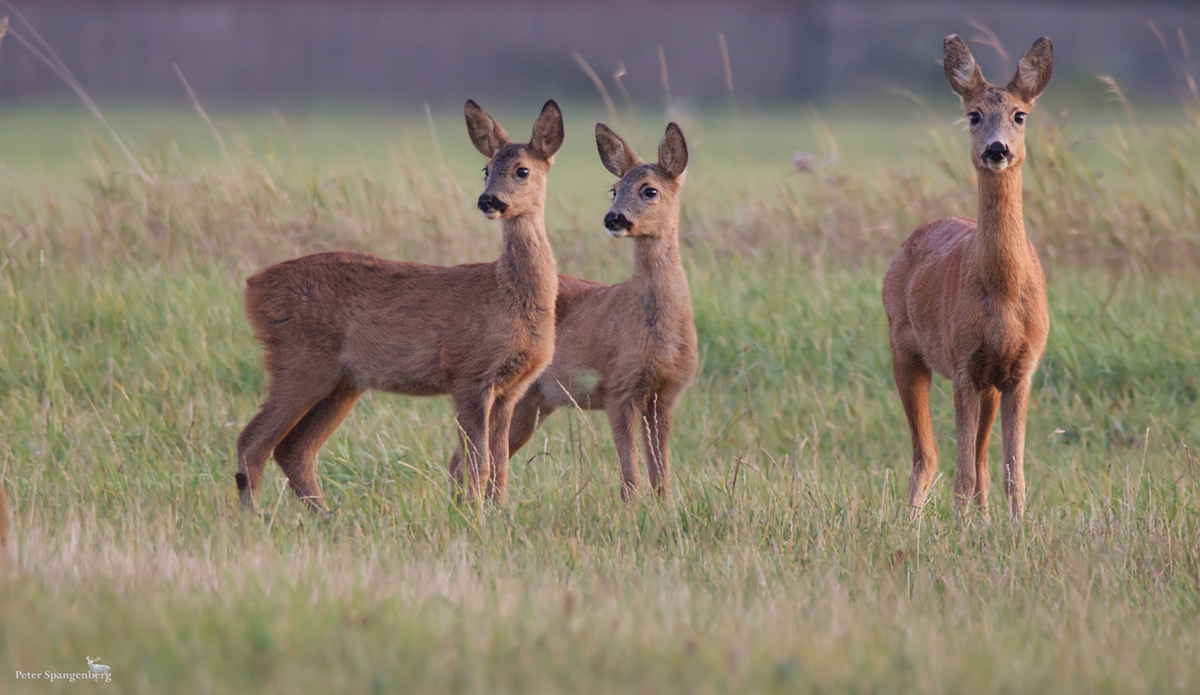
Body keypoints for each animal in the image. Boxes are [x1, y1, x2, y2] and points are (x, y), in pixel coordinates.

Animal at [240, 99, 571, 511]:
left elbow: (499, 466)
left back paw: (325, 515)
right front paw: (474, 516)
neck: (509, 295)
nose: (488, 200)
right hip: (300, 360)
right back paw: (252, 517)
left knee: (294, 449)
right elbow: (477, 464)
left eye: (522, 170)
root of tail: (252, 288)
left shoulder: (510, 388)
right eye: (486, 169)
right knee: (252, 441)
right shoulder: (467, 372)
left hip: (343, 381)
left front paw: (495, 513)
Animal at [448, 121, 696, 499]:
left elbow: (661, 477)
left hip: (532, 401)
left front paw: (663, 509)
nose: (613, 218)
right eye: (613, 189)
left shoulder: (665, 394)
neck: (657, 330)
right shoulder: (618, 387)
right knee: (462, 460)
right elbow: (631, 477)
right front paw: (631, 510)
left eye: (650, 191)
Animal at [883, 35, 1051, 518]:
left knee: (979, 459)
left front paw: (1017, 525)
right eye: (973, 114)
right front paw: (959, 529)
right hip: (904, 349)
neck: (1004, 292)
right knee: (928, 453)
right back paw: (912, 521)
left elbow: (1012, 471)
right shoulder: (962, 363)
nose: (997, 149)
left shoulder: (1021, 368)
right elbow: (962, 473)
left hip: (988, 383)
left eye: (1020, 114)